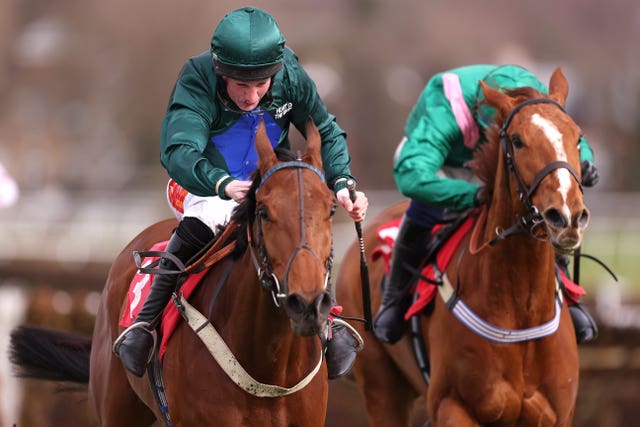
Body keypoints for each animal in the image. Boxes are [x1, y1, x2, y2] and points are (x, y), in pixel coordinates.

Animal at [336, 68, 592, 426]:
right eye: (517, 141)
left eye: (578, 137)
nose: (567, 215)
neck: (520, 312)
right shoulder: (452, 406)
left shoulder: (558, 415)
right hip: (381, 386)